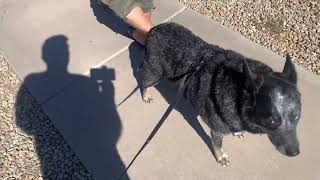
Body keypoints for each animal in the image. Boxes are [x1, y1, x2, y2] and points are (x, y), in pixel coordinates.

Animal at [141, 22, 302, 167]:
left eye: (297, 117)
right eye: (272, 121)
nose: (294, 153)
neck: (239, 94)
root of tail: (154, 28)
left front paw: (237, 132)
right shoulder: (217, 130)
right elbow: (218, 145)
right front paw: (221, 157)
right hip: (155, 74)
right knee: (144, 82)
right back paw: (145, 95)